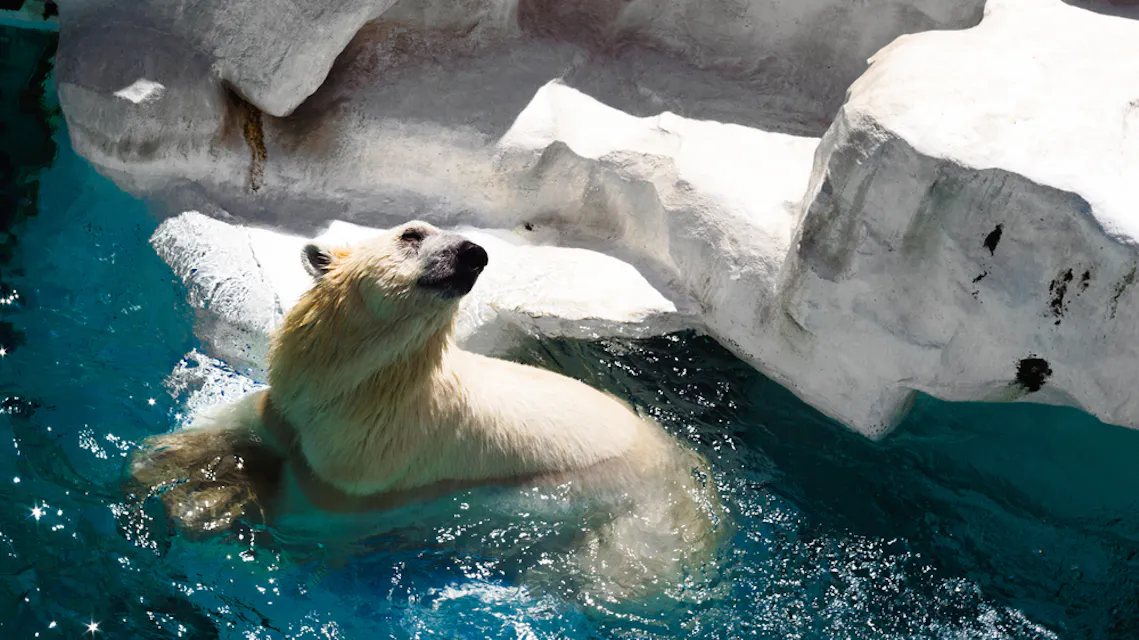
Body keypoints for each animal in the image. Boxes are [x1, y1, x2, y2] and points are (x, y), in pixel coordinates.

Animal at [128, 220, 730, 602]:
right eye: (411, 234)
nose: (473, 253)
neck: (364, 385)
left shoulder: (372, 461)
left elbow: (308, 510)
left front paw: (215, 503)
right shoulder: (290, 404)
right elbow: (245, 419)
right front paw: (163, 460)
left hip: (636, 527)